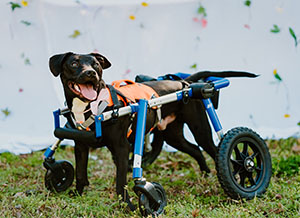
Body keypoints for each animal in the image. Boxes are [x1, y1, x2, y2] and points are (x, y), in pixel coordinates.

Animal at [48, 52, 255, 210]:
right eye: (74, 63)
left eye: (96, 64)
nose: (91, 73)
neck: (93, 107)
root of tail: (184, 83)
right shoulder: (81, 146)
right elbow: (81, 174)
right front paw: (76, 194)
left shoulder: (121, 148)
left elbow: (121, 181)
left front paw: (127, 205)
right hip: (173, 136)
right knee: (196, 149)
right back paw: (205, 174)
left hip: (200, 130)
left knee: (218, 152)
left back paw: (237, 177)